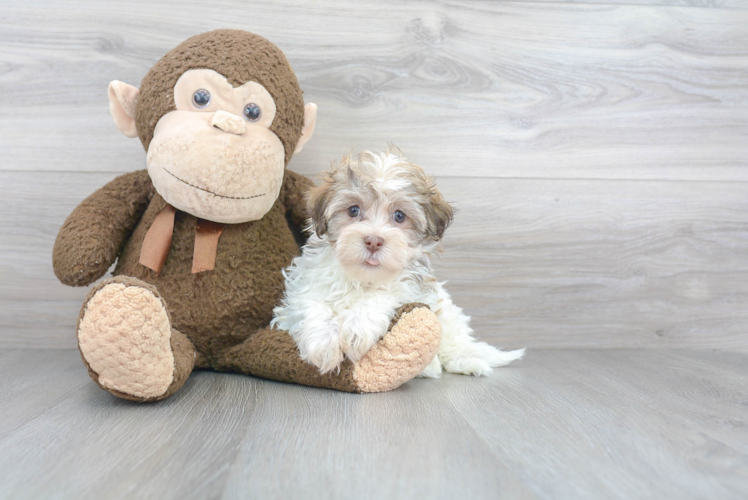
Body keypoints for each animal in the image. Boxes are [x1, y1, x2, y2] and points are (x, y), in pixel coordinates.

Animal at [272, 150, 524, 376]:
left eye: (399, 216)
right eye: (353, 210)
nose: (373, 241)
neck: (362, 278)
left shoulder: (412, 288)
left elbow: (384, 294)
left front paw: (357, 327)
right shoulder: (303, 287)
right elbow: (312, 305)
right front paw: (324, 342)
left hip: (449, 316)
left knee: (453, 343)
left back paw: (462, 362)